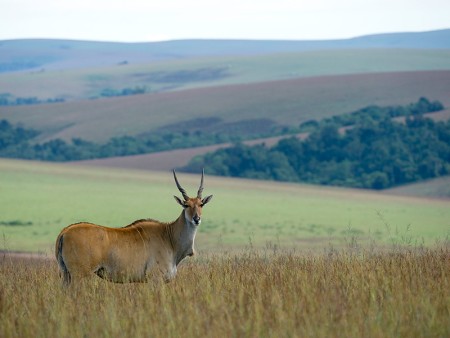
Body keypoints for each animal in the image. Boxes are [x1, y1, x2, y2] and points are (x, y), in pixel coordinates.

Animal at [55, 170, 213, 284]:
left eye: (201, 204)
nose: (196, 219)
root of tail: (64, 232)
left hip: (66, 275)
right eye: (186, 205)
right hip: (79, 275)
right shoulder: (155, 279)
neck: (169, 237)